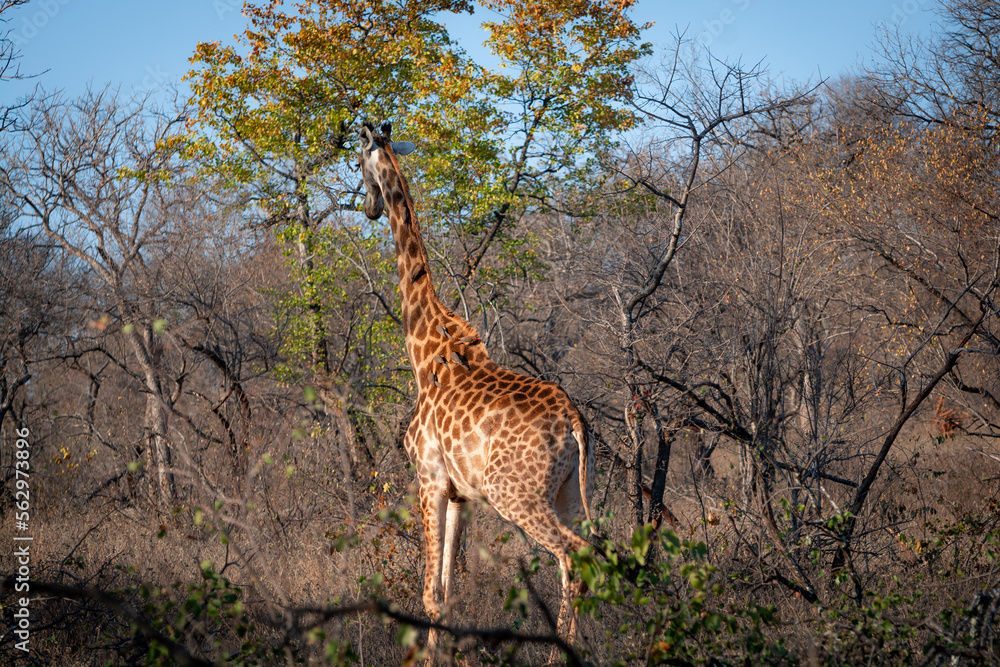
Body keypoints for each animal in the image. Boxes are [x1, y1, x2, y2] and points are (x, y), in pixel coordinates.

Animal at [356, 121, 595, 654]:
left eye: (358, 163)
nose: (370, 207)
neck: (425, 350)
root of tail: (574, 422)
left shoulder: (427, 477)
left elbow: (429, 595)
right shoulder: (460, 493)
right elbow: (448, 593)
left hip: (516, 494)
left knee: (574, 556)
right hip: (568, 491)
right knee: (591, 557)